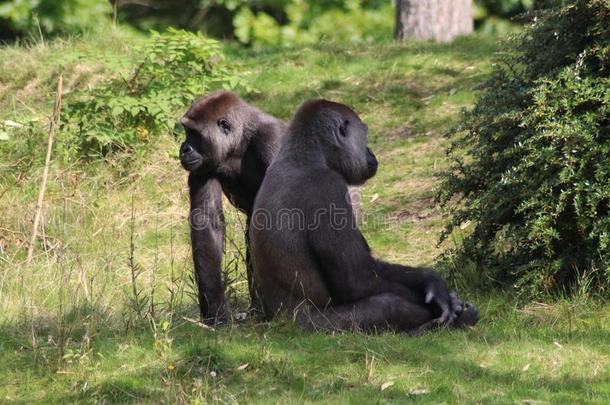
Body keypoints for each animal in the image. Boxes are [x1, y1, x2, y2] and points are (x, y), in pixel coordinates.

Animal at [249, 99, 478, 332]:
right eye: (364, 137)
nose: (371, 152)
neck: (305, 156)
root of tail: (277, 322)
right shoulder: (328, 187)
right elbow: (356, 281)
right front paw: (441, 296)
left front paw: (429, 280)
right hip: (314, 327)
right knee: (387, 304)